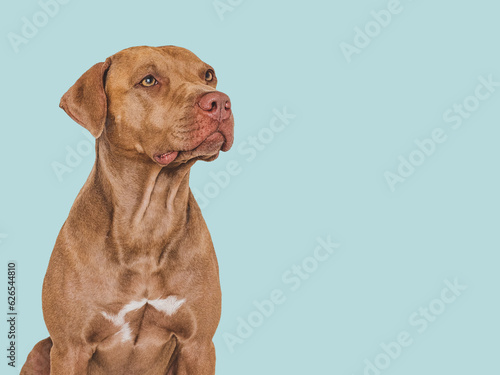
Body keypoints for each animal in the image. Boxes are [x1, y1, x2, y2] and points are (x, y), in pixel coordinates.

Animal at [20, 47, 235, 375]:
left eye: (208, 75)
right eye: (149, 80)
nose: (220, 102)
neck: (147, 221)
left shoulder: (198, 345)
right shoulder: (70, 348)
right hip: (40, 350)